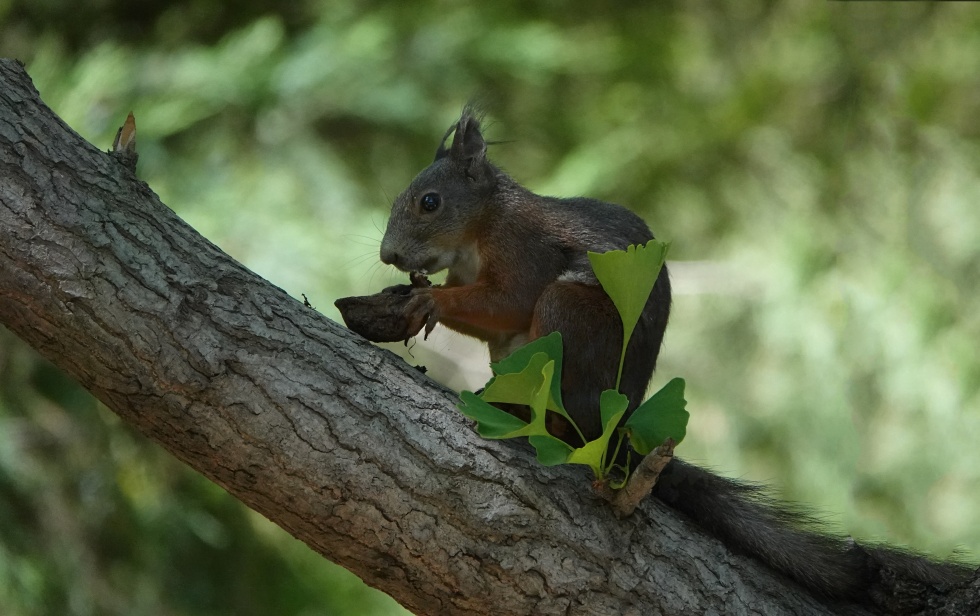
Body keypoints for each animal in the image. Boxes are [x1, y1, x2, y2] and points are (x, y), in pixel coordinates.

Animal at [376, 106, 972, 612]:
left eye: (430, 202)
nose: (388, 255)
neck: (480, 228)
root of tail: (615, 432)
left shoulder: (524, 250)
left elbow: (509, 300)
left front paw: (431, 299)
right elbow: (484, 316)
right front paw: (416, 295)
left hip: (568, 315)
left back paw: (521, 416)